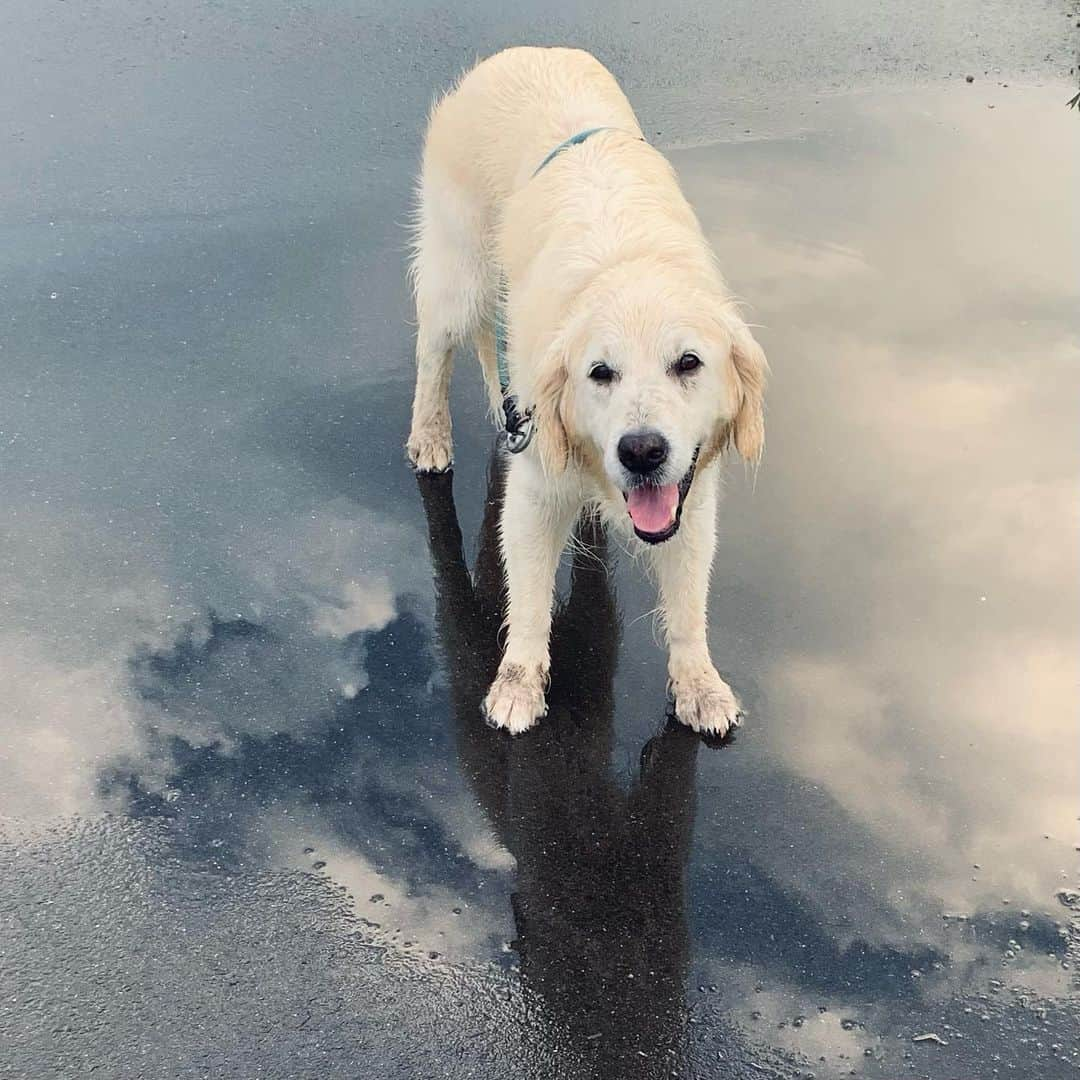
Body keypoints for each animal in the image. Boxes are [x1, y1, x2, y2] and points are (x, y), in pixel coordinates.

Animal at [406, 46, 768, 738]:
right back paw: (429, 436)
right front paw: (518, 684)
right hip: (459, 272)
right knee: (434, 351)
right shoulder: (534, 489)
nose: (642, 452)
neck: (627, 266)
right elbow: (528, 600)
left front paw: (699, 684)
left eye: (689, 362)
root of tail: (518, 51)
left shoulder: (690, 498)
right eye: (600, 372)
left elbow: (688, 604)